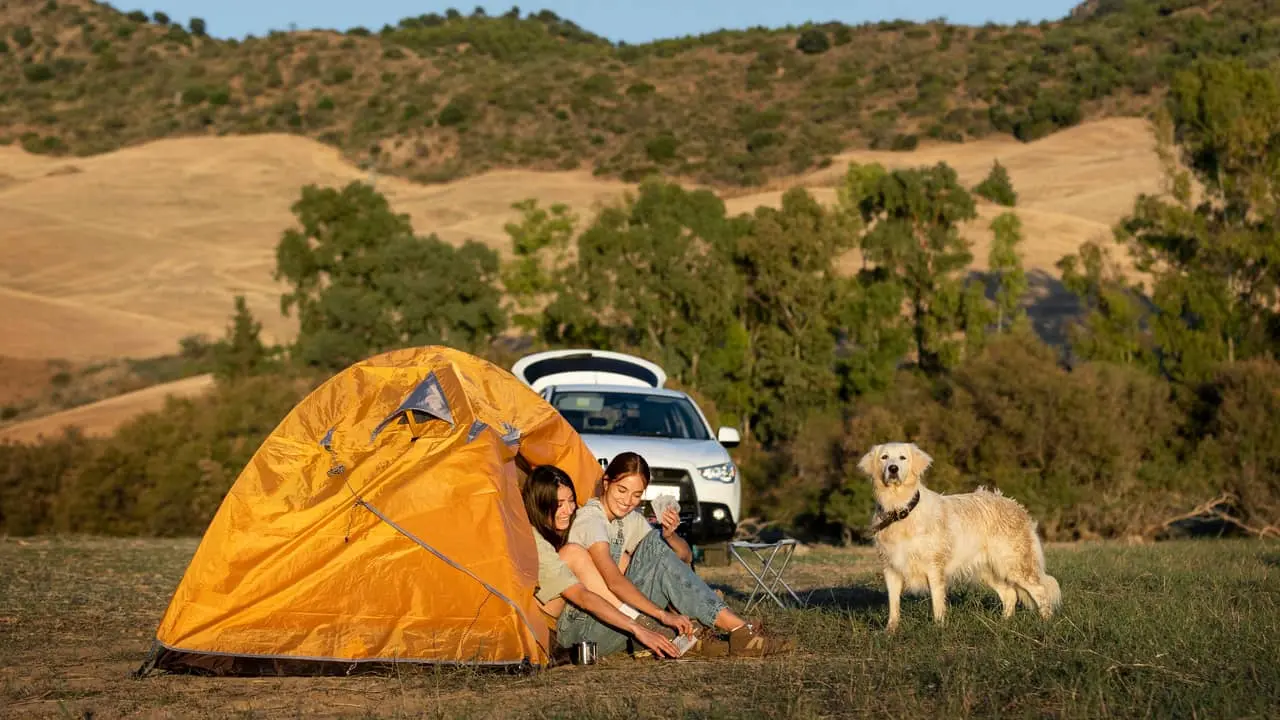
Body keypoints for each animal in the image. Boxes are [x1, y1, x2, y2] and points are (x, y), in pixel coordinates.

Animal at [860, 440, 1059, 630]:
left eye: (902, 458)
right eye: (884, 457)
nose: (893, 468)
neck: (900, 509)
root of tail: (1016, 506)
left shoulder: (934, 567)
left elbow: (937, 603)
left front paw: (939, 628)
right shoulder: (890, 568)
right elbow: (893, 605)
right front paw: (890, 631)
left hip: (1013, 564)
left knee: (1041, 591)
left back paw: (1045, 624)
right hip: (988, 569)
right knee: (1010, 594)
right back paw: (1004, 624)